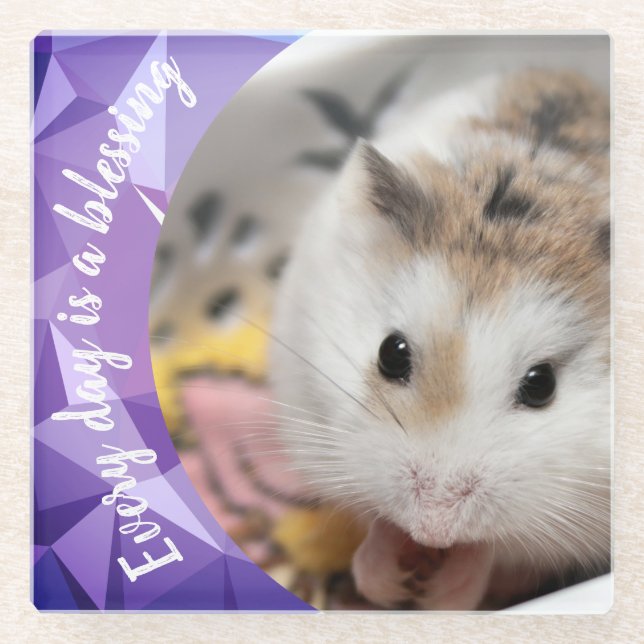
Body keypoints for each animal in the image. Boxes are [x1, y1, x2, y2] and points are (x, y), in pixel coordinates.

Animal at [269, 69, 610, 610]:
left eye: (542, 385)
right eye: (391, 353)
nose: (432, 529)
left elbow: (490, 549)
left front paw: (437, 594)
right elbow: (378, 522)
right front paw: (389, 580)